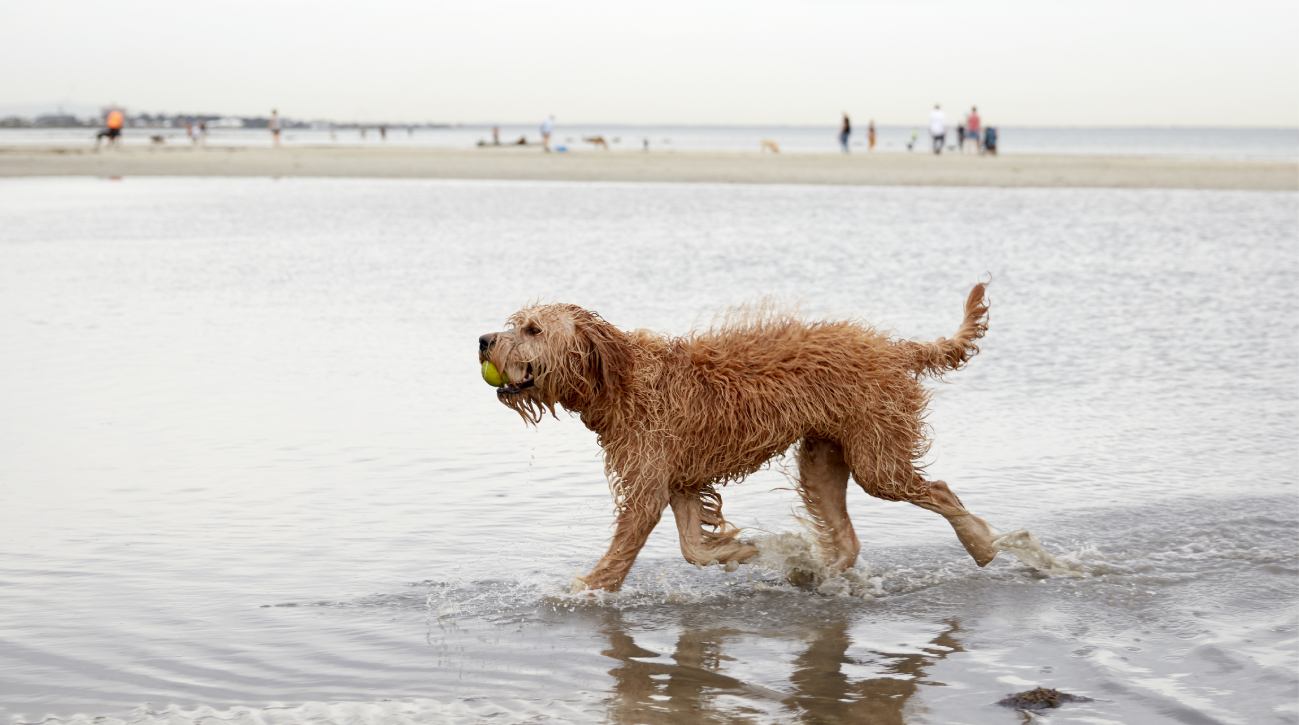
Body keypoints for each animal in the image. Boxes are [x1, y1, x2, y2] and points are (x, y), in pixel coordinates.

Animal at [483, 284, 997, 592]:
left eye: (533, 329)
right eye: (516, 322)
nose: (484, 341)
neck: (621, 379)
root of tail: (892, 348)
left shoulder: (648, 484)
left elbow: (622, 555)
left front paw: (584, 592)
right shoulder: (681, 481)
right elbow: (693, 549)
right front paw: (741, 551)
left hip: (878, 460)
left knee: (940, 492)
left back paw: (983, 545)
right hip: (822, 460)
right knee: (847, 540)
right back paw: (810, 570)